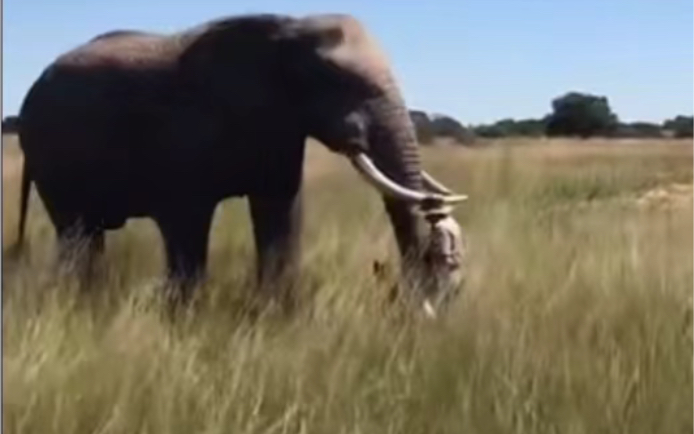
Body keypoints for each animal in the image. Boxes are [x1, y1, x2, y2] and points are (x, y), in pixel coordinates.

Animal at [12, 12, 468, 316]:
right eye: (336, 80)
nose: (422, 300)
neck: (287, 30)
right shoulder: (184, 127)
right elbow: (186, 221)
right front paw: (185, 320)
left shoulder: (281, 126)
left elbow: (280, 212)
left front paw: (277, 318)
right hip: (49, 151)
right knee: (76, 233)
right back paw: (81, 304)